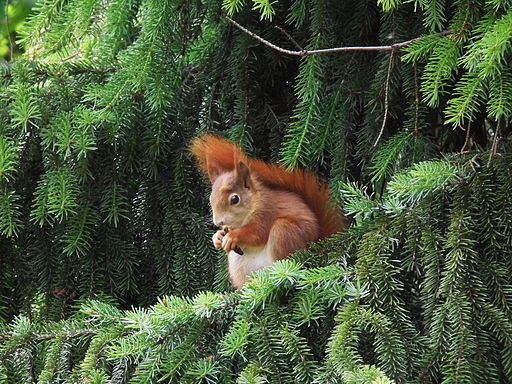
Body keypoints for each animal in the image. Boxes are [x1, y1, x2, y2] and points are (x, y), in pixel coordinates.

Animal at [190, 135, 346, 288]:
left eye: (235, 199)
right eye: (211, 197)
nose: (218, 222)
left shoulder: (267, 213)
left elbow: (257, 233)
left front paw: (233, 236)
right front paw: (217, 237)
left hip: (284, 232)